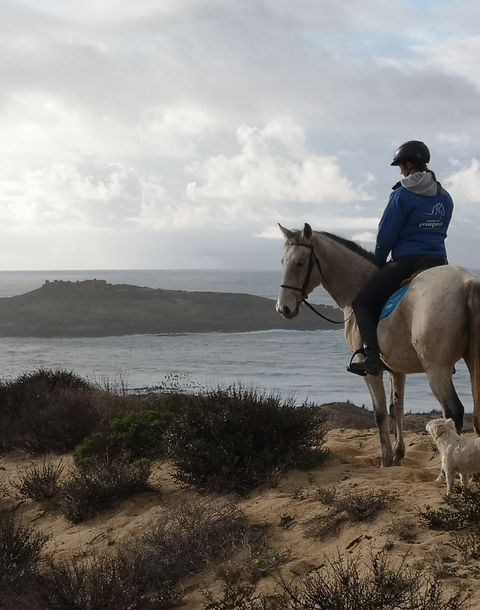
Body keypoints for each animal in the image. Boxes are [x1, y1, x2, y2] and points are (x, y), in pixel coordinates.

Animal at [274, 223, 480, 466]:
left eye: (299, 262)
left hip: (437, 369)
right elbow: (396, 408)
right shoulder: (397, 369)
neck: (357, 286)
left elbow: (379, 413)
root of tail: (467, 284)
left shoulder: (370, 370)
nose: (283, 308)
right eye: (283, 262)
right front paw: (399, 454)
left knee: (453, 412)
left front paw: (386, 459)